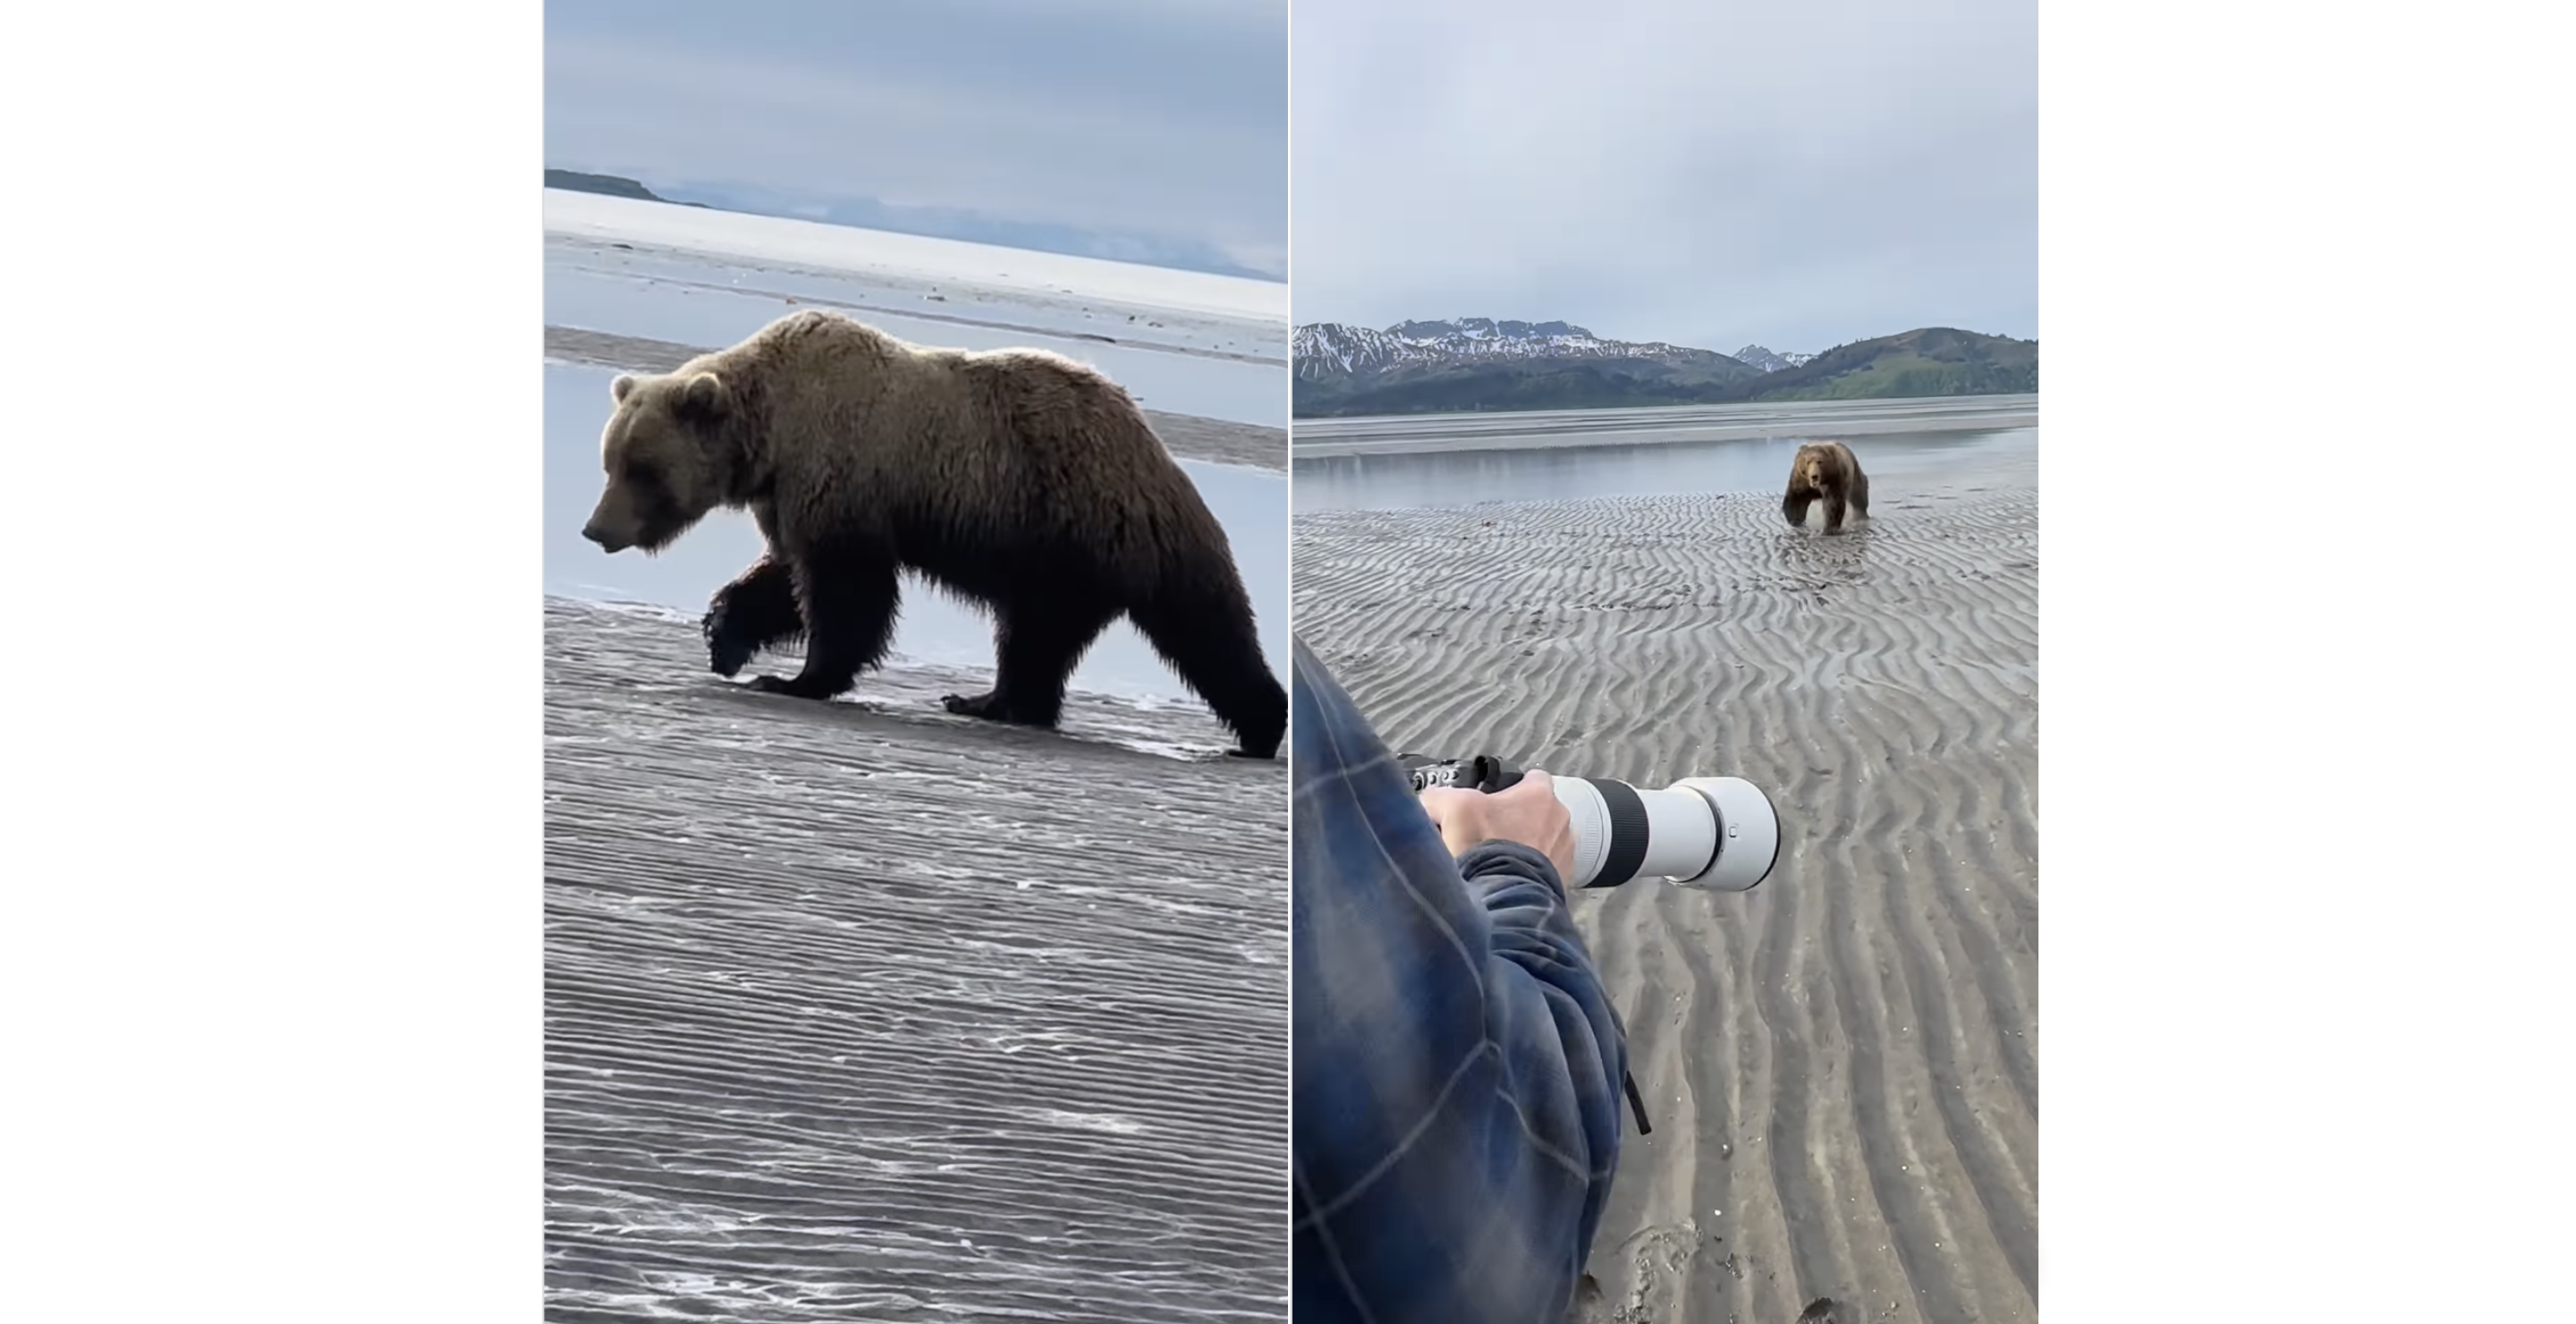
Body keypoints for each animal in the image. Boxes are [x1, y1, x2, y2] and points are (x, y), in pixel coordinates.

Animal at [569, 306, 1283, 751]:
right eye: (610, 460)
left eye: (642, 469)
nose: (594, 529)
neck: (769, 431)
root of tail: (1154, 450)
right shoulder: (791, 491)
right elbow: (785, 575)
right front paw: (725, 637)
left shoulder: (843, 470)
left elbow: (843, 589)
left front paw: (799, 679)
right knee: (1060, 637)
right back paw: (992, 702)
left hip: (1076, 522)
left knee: (1179, 628)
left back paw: (1261, 726)